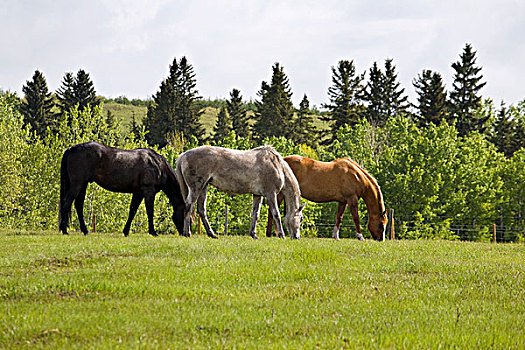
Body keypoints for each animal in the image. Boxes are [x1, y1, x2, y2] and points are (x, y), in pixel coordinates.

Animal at [176, 146, 304, 241]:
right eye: (301, 218)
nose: (297, 237)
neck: (277, 165)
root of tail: (183, 156)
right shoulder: (270, 194)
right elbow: (276, 214)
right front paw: (282, 235)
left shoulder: (258, 195)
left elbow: (255, 214)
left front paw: (253, 234)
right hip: (196, 188)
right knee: (188, 206)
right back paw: (187, 233)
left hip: (204, 187)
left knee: (201, 210)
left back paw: (211, 234)